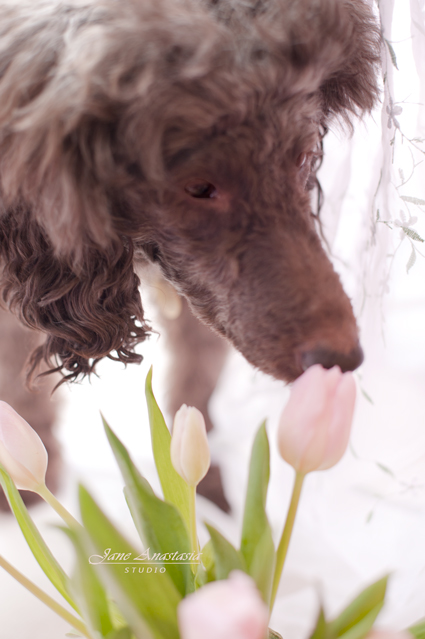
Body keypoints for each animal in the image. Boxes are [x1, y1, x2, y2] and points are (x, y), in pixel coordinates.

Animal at [0, 0, 378, 510]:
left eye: (301, 159)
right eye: (198, 187)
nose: (343, 359)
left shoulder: (204, 302)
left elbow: (197, 387)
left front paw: (204, 486)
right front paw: (25, 496)